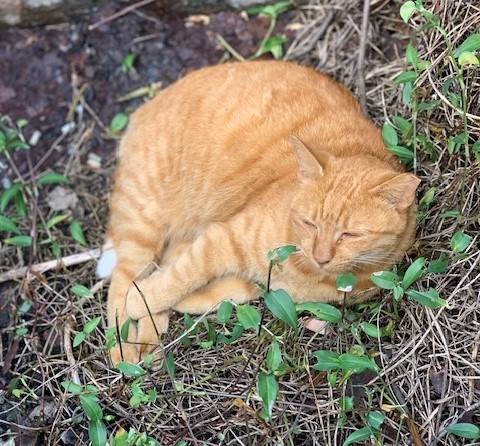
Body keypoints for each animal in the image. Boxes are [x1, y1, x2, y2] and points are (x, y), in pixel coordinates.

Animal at [98, 60, 420, 366]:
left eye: (350, 235)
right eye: (310, 224)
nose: (321, 257)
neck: (307, 271)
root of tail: (145, 107)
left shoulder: (256, 282)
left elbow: (209, 293)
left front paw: (170, 306)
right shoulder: (221, 238)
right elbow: (178, 280)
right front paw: (141, 302)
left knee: (159, 265)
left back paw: (149, 340)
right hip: (143, 221)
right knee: (121, 283)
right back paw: (123, 348)